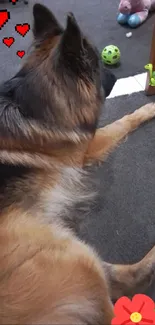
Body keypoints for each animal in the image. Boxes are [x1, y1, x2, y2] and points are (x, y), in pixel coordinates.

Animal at [0, 3, 155, 324]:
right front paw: (148, 109)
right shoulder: (86, 147)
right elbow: (124, 121)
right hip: (73, 258)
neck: (29, 102)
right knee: (129, 282)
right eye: (96, 65)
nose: (114, 76)